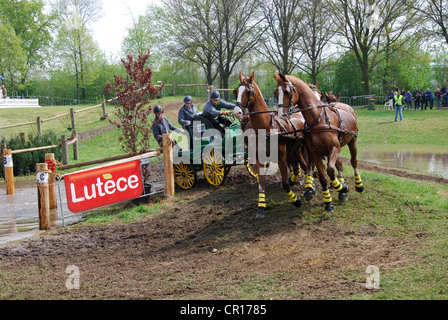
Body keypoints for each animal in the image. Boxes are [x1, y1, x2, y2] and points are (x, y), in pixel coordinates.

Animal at [234, 71, 308, 219]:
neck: (265, 127)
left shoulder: (281, 157)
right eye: (236, 92)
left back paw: (310, 188)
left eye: (248, 91)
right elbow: (261, 184)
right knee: (301, 166)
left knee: (306, 166)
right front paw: (261, 208)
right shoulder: (258, 158)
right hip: (295, 151)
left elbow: (285, 184)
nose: (236, 112)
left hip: (299, 150)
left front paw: (296, 200)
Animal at [272, 73, 364, 211]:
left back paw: (358, 185)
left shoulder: (335, 148)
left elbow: (331, 169)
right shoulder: (313, 151)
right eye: (276, 94)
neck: (318, 119)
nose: (281, 116)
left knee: (354, 162)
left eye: (287, 91)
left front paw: (342, 187)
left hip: (352, 141)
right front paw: (327, 201)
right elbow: (322, 176)